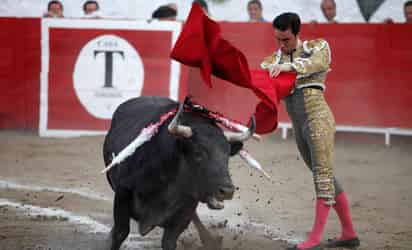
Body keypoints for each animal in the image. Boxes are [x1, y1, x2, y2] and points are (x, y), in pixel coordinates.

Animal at [102, 96, 254, 250]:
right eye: (198, 153)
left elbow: (169, 241)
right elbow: (120, 233)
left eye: (227, 155)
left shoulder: (185, 209)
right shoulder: (122, 193)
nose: (227, 191)